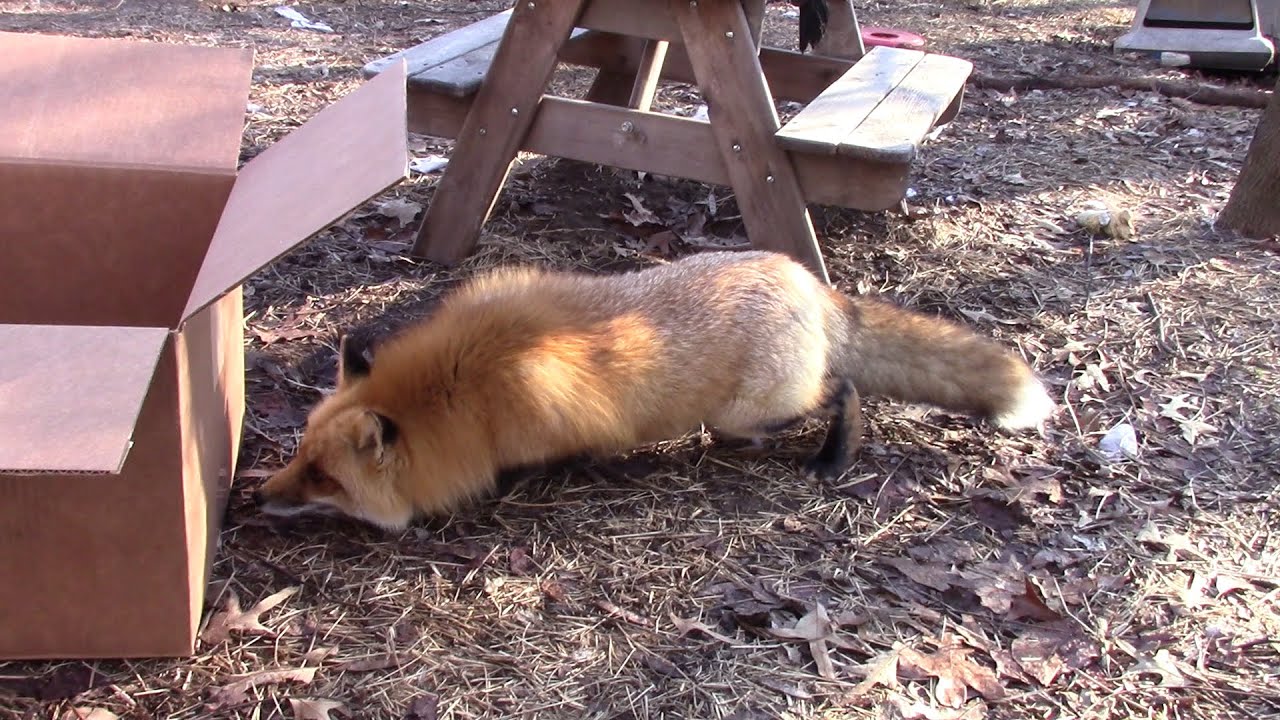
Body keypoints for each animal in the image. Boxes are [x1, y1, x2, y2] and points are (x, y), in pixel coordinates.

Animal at [255, 250, 1055, 531]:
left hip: (746, 414)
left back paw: (835, 456)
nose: (258, 497)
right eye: (298, 457)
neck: (462, 389)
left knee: (845, 389)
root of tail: (807, 278)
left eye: (323, 479)